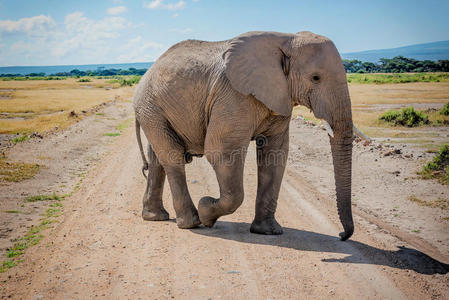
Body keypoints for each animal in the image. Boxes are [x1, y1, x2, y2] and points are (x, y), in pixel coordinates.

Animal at [132, 30, 364, 241]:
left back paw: (155, 217)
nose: (342, 235)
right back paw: (191, 223)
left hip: (155, 110)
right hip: (151, 107)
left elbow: (275, 155)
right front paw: (206, 210)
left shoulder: (280, 96)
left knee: (157, 160)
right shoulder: (234, 95)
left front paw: (268, 231)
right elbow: (221, 152)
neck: (287, 39)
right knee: (172, 158)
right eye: (315, 78)